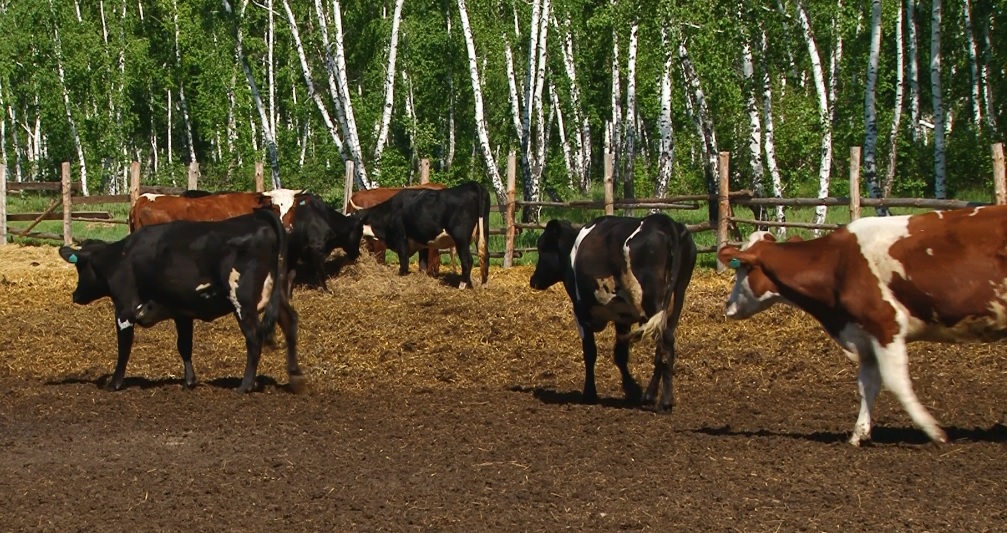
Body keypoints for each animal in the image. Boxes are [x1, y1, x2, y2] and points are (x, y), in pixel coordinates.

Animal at [59, 208, 304, 394]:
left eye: (79, 267)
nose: (75, 295)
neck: (120, 257)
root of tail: (259, 219)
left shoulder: (125, 309)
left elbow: (124, 348)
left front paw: (114, 383)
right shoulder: (182, 312)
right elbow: (184, 346)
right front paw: (189, 381)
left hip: (242, 302)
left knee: (254, 338)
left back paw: (245, 385)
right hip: (279, 296)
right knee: (290, 323)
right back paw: (295, 376)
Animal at [355, 181, 490, 289]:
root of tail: (472, 184)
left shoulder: (401, 238)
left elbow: (404, 260)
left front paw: (402, 275)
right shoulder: (423, 244)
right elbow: (423, 265)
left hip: (461, 238)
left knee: (467, 259)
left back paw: (462, 284)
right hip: (483, 232)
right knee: (485, 256)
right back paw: (481, 284)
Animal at [529, 214, 697, 410]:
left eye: (542, 247)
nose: (533, 280)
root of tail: (663, 221)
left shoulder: (580, 312)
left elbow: (590, 352)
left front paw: (590, 394)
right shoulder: (622, 317)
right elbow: (620, 355)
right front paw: (633, 391)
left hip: (651, 303)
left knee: (663, 344)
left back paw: (664, 400)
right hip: (674, 301)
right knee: (665, 345)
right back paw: (651, 396)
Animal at [717, 205, 1007, 446]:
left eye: (741, 269)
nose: (728, 306)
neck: (838, 263)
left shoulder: (885, 325)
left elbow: (896, 382)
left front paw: (934, 431)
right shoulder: (864, 335)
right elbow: (867, 384)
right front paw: (858, 434)